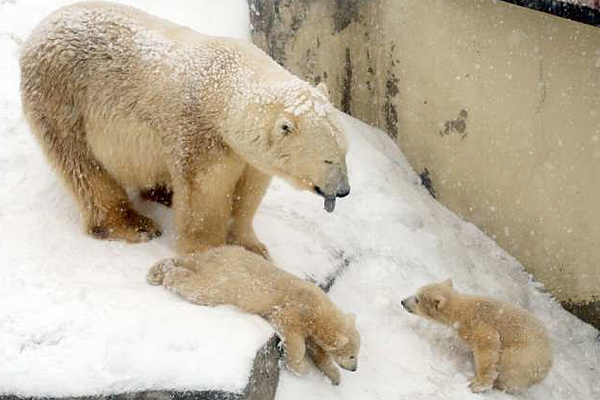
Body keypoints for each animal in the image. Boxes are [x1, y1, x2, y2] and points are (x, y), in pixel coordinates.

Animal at [21, 0, 350, 256]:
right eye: (328, 159)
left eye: (345, 153)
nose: (344, 191)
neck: (224, 84)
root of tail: (39, 30)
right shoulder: (201, 133)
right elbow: (205, 193)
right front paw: (208, 252)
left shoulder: (245, 153)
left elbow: (249, 190)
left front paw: (252, 246)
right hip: (63, 100)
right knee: (84, 168)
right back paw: (134, 225)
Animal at [146, 245, 360, 386]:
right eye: (352, 355)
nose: (354, 369)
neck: (319, 309)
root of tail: (211, 258)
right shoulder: (297, 309)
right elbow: (293, 337)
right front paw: (301, 368)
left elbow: (318, 350)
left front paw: (334, 376)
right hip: (225, 283)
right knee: (199, 287)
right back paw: (170, 275)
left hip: (213, 257)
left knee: (185, 261)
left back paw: (157, 271)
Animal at [400, 280, 552, 392]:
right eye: (416, 293)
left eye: (417, 299)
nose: (403, 301)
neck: (462, 310)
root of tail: (547, 368)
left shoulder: (480, 324)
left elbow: (488, 346)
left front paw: (478, 384)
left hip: (525, 356)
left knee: (509, 366)